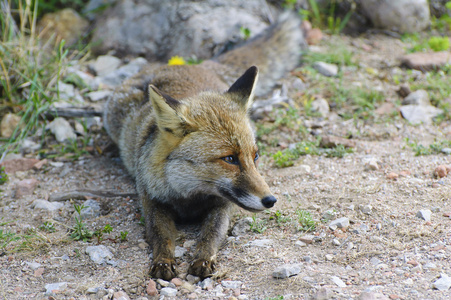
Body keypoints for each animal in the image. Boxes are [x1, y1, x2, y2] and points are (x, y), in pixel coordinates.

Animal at [104, 11, 306, 278]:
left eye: (255, 156)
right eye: (229, 158)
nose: (270, 200)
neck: (190, 196)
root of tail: (192, 64)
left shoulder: (222, 206)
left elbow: (211, 235)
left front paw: (203, 259)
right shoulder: (152, 201)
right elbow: (160, 236)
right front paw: (163, 262)